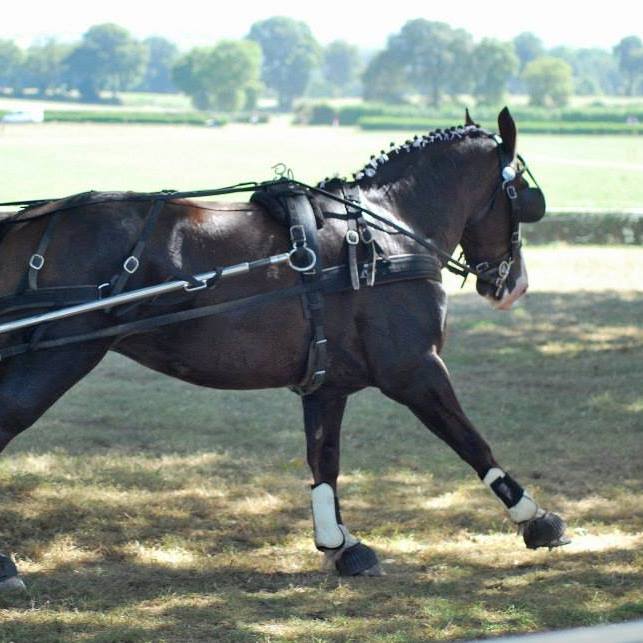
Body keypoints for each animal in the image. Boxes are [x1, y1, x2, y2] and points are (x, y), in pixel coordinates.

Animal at [0, 107, 568, 592]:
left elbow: (324, 460)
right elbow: (471, 441)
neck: (385, 236)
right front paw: (535, 518)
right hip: (56, 358)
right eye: (523, 195)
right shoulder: (415, 370)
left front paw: (341, 545)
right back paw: (7, 566)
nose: (512, 284)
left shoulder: (327, 384)